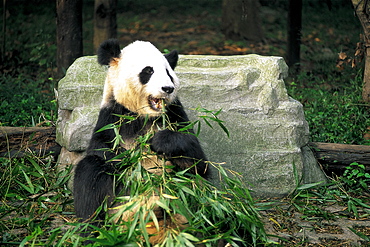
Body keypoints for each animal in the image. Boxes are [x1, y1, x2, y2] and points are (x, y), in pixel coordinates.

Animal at [73, 39, 208, 244]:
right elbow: (102, 151)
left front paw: (161, 142)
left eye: (169, 73)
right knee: (89, 175)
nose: (168, 89)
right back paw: (94, 236)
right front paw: (128, 160)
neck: (145, 116)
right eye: (148, 71)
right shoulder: (112, 117)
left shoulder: (175, 114)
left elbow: (197, 159)